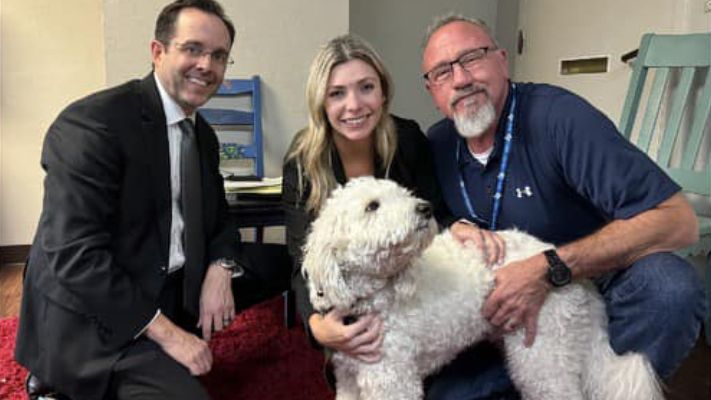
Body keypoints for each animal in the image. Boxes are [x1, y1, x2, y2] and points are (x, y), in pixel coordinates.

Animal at [304, 177, 664, 398]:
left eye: (402, 193)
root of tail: (573, 274)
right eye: (372, 206)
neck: (376, 296)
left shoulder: (393, 381)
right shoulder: (350, 378)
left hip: (543, 358)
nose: (425, 208)